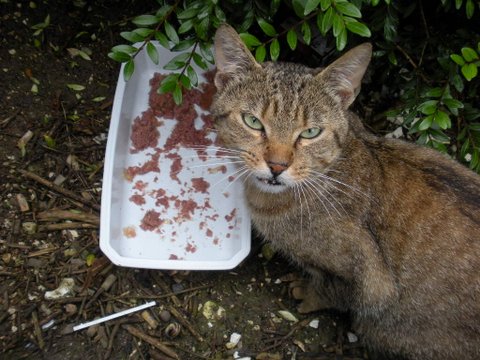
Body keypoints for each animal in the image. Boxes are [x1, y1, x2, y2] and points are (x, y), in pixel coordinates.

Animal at [210, 23, 480, 360]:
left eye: (311, 132)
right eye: (253, 122)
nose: (277, 165)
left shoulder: (370, 282)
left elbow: (337, 291)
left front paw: (308, 293)